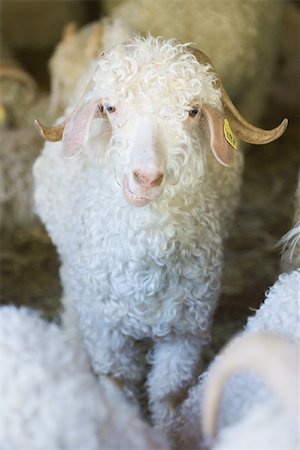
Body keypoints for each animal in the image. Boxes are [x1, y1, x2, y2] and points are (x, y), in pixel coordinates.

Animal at [33, 35, 288, 432]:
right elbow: (117, 383)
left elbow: (169, 394)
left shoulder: (186, 331)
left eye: (193, 111)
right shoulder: (108, 331)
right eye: (110, 107)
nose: (147, 177)